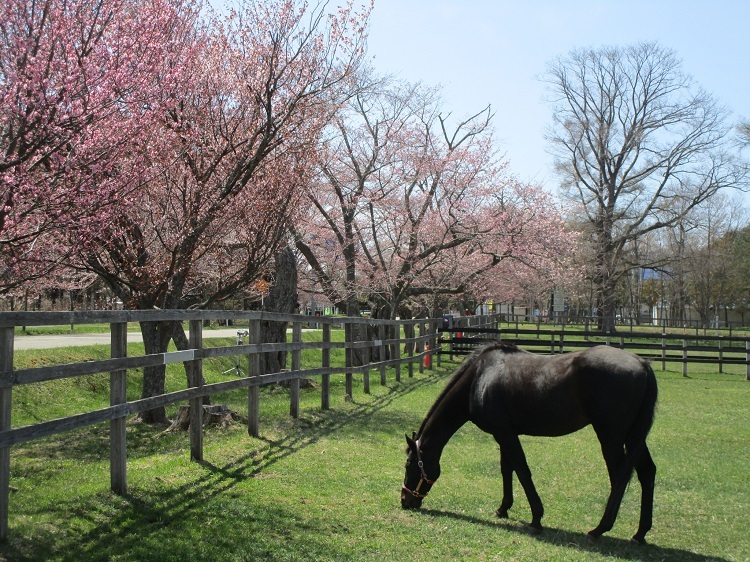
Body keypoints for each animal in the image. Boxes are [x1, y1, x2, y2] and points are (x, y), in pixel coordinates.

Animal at [400, 340, 656, 540]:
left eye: (409, 464)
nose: (405, 500)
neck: (480, 377)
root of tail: (642, 363)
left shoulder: (505, 434)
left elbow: (522, 470)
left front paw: (536, 518)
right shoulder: (504, 433)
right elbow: (507, 469)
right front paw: (503, 508)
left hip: (611, 437)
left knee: (619, 477)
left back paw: (600, 529)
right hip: (633, 437)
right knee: (647, 472)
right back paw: (640, 533)